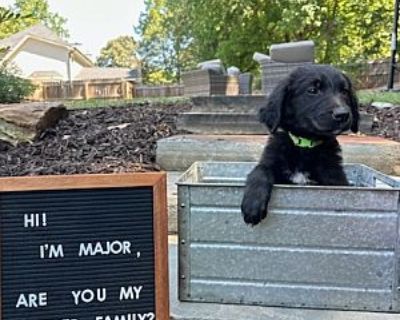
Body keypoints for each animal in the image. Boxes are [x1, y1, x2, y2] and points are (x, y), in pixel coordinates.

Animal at [241, 64, 360, 225]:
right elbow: (260, 170)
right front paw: (252, 204)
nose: (343, 114)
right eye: (313, 90)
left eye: (344, 91)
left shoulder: (334, 177)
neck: (305, 144)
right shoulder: (271, 160)